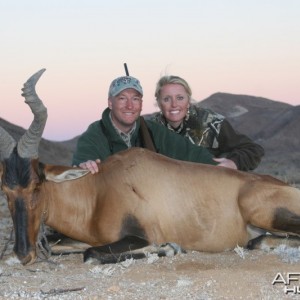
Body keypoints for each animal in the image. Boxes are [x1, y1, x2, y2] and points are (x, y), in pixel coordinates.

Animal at [0, 69, 300, 266]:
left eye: (36, 185)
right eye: (5, 189)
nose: (24, 254)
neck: (98, 189)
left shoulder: (140, 235)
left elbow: (91, 254)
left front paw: (168, 248)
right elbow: (65, 247)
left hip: (260, 210)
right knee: (259, 240)